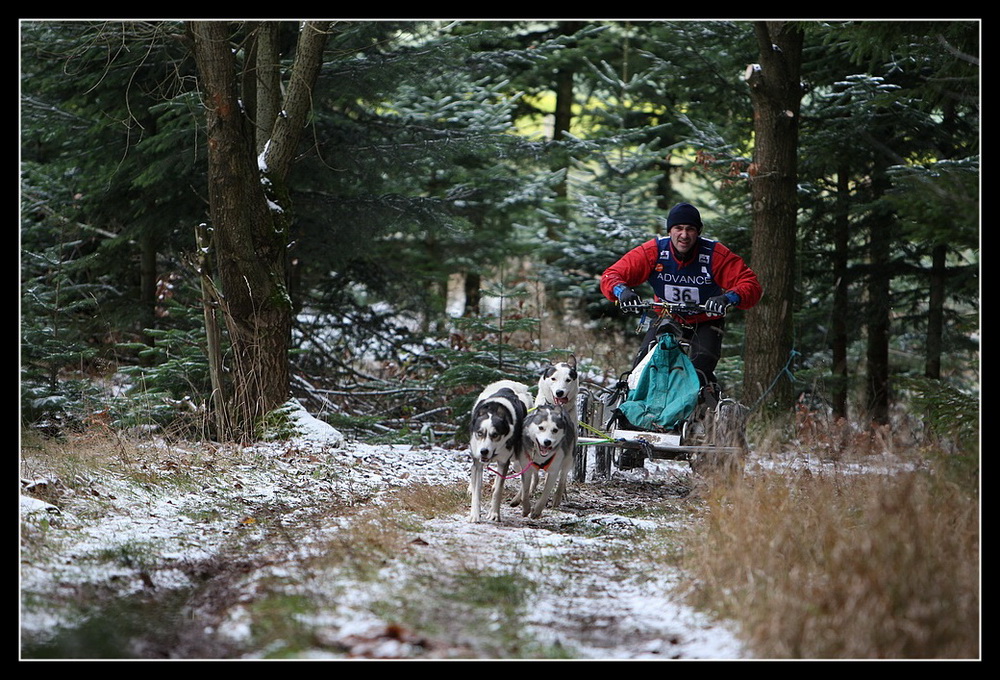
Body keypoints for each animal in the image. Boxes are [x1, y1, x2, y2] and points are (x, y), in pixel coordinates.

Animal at [470, 380, 536, 524]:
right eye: (479, 433)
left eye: (495, 435)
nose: (484, 451)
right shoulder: (478, 462)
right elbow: (477, 491)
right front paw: (475, 514)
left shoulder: (504, 461)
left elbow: (498, 491)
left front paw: (494, 514)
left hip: (518, 459)